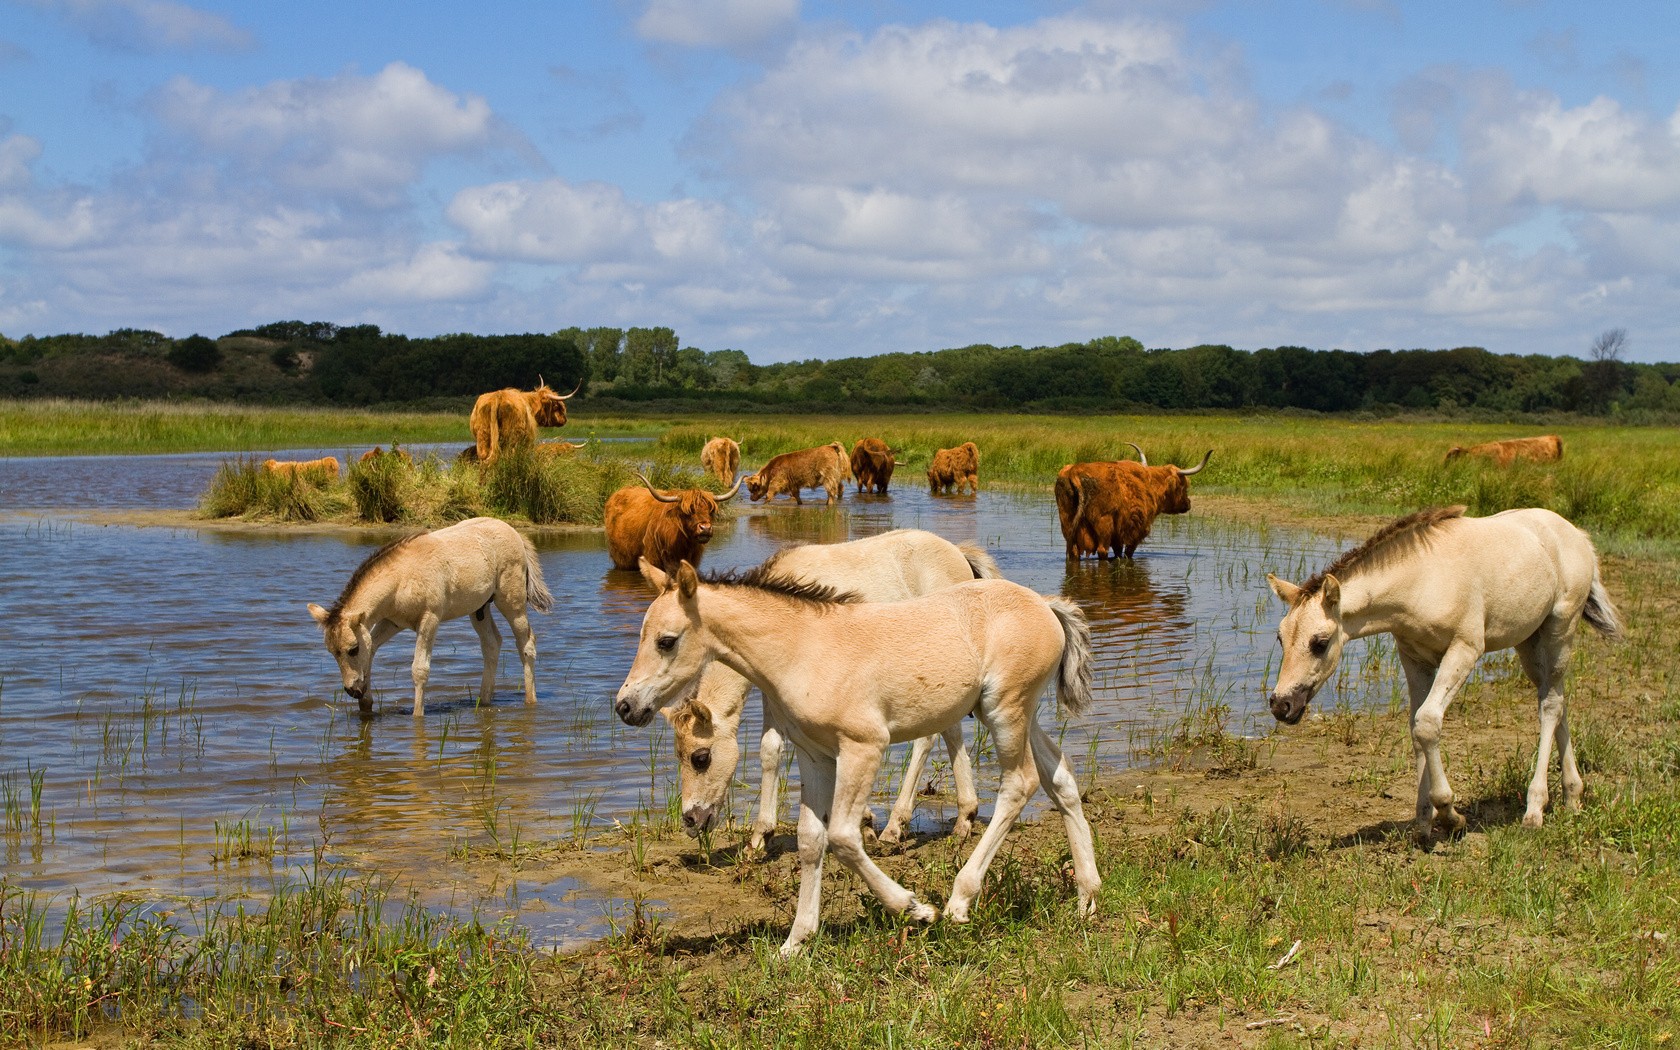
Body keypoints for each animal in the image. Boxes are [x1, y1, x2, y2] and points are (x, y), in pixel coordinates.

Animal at [307, 517, 553, 717]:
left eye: (352, 649)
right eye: (332, 652)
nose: (352, 691)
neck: (402, 578)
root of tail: (515, 533)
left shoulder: (430, 619)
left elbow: (419, 669)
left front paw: (418, 716)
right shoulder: (391, 622)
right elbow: (373, 650)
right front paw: (366, 705)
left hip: (511, 602)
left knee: (526, 643)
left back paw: (530, 700)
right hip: (479, 609)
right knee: (492, 644)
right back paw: (484, 702)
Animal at [664, 529, 998, 849]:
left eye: (700, 757)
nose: (691, 820)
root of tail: (958, 554)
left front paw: (864, 822)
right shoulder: (775, 692)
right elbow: (770, 750)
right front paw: (760, 838)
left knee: (927, 739)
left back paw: (895, 826)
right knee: (950, 729)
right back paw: (965, 816)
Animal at [1055, 445, 1212, 560]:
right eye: (1184, 486)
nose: (1188, 503)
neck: (1151, 485)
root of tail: (1074, 471)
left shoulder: (1118, 534)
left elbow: (1118, 551)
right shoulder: (1138, 529)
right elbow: (1128, 552)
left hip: (1067, 522)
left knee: (1074, 551)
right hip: (1103, 523)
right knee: (1102, 550)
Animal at [1265, 506, 1624, 843]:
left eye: (1320, 643)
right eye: (1280, 638)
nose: (1282, 705)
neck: (1422, 579)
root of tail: (1577, 534)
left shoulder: (1465, 649)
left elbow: (1428, 722)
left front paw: (1451, 815)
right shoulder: (1413, 657)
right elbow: (1417, 728)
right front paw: (1424, 823)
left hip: (1560, 630)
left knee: (1550, 705)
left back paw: (1535, 809)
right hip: (1528, 640)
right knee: (1555, 698)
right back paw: (1572, 796)